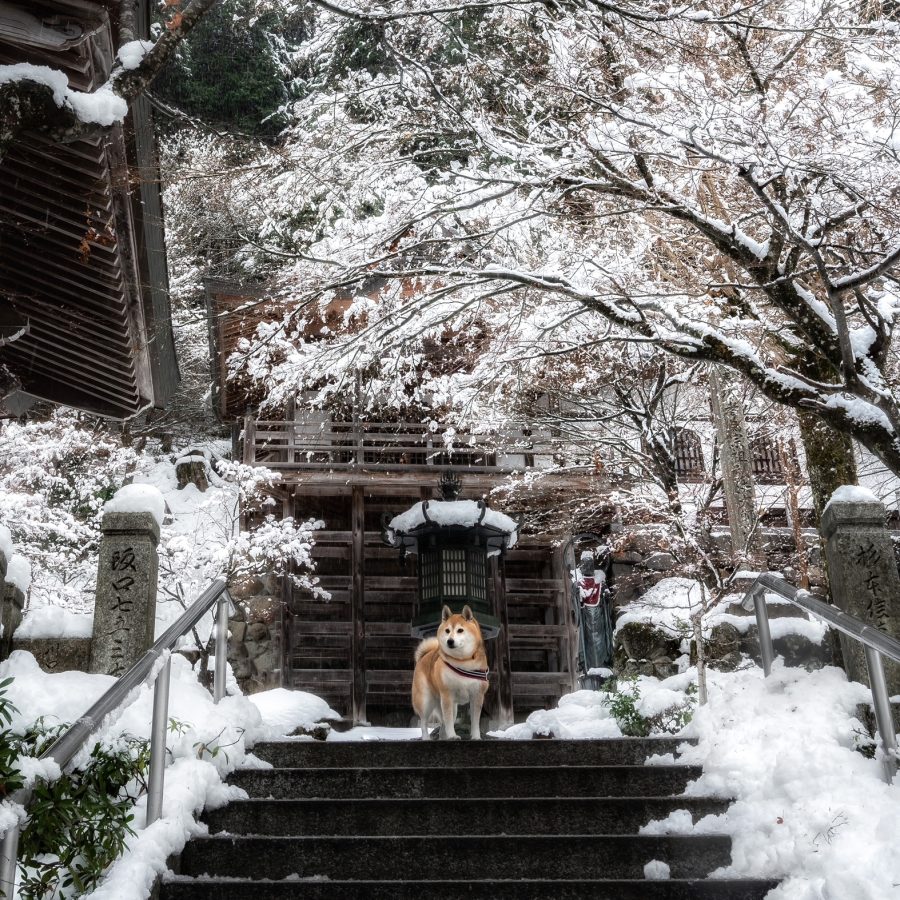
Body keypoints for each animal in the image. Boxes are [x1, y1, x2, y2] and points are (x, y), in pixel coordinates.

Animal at [412, 604, 488, 740]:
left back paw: (443, 737)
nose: (450, 641)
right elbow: (448, 721)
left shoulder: (477, 695)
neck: (463, 661)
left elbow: (475, 721)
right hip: (425, 701)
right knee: (424, 723)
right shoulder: (447, 694)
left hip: (451, 706)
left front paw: (476, 737)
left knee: (442, 725)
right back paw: (426, 738)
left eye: (460, 630)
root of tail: (424, 656)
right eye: (447, 631)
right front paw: (452, 735)